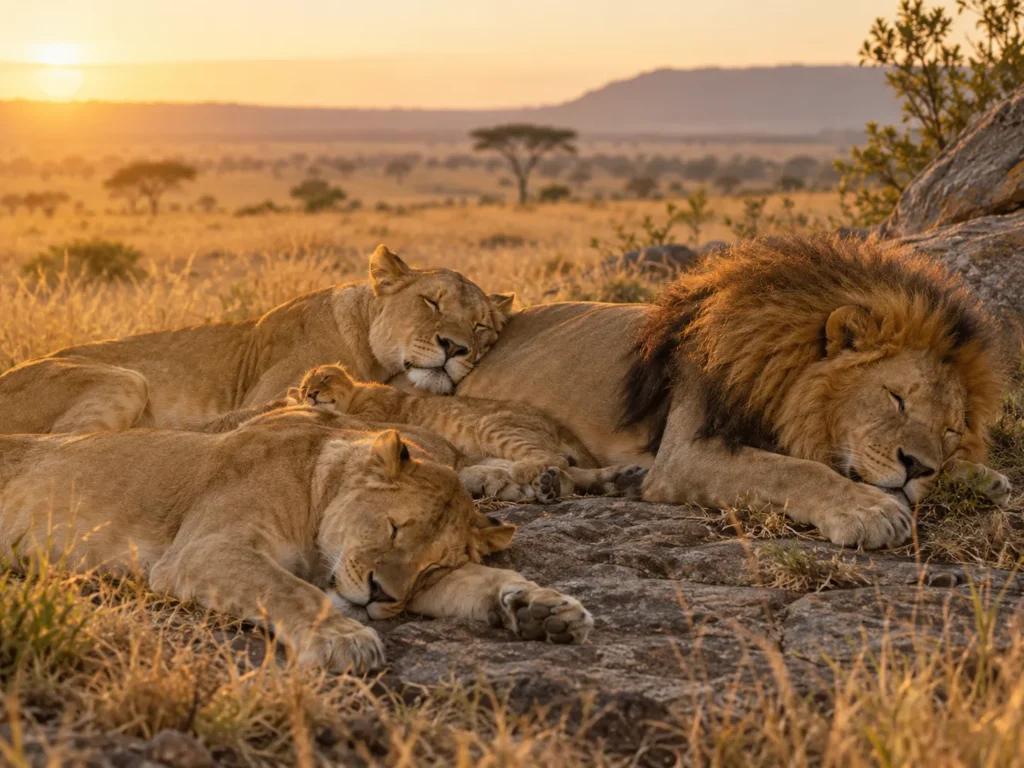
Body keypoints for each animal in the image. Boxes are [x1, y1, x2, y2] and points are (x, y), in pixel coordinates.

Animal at [0, 422, 593, 672]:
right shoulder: (203, 549)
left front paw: (543, 607)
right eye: (394, 527)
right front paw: (344, 639)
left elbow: (483, 582)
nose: (381, 595)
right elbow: (286, 590)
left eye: (430, 568)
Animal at [292, 364, 646, 497]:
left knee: (554, 459)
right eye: (304, 388)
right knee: (571, 472)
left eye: (324, 379)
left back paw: (531, 476)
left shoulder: (376, 414)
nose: (310, 395)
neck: (356, 396)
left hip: (492, 426)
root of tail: (555, 423)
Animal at [403, 236, 1013, 550]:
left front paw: (979, 476)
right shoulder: (685, 453)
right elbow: (795, 471)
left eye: (950, 429)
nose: (918, 466)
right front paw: (870, 510)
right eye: (896, 398)